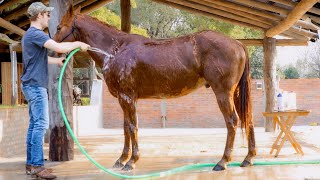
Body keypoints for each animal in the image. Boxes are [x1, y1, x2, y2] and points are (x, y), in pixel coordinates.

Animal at [54, 6, 255, 171]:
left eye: (58, 27)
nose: (51, 49)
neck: (115, 50)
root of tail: (238, 43)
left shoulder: (127, 98)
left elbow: (132, 127)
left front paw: (131, 161)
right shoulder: (124, 99)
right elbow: (126, 127)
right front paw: (121, 159)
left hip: (223, 93)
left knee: (232, 121)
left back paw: (223, 162)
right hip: (236, 93)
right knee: (248, 118)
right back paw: (248, 158)